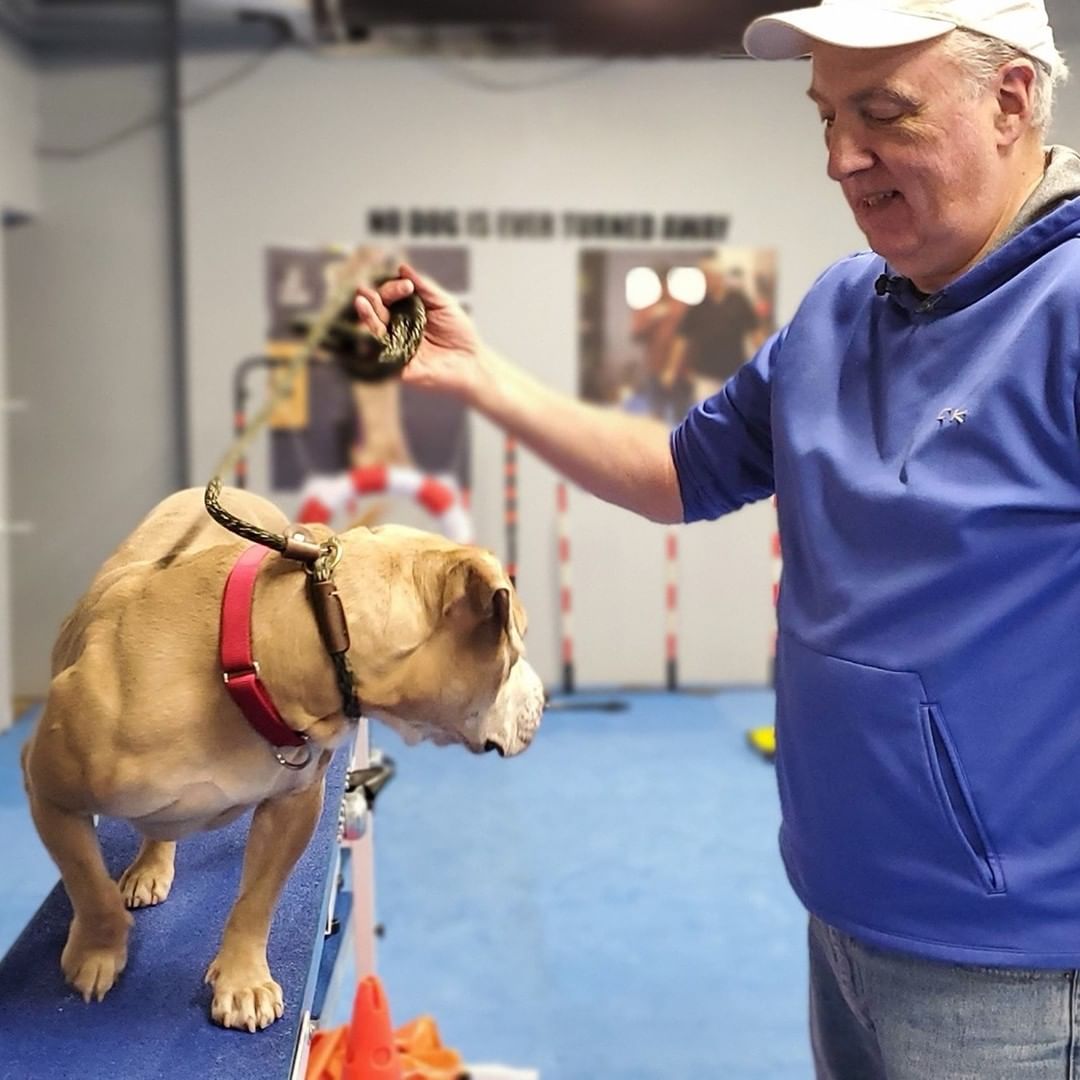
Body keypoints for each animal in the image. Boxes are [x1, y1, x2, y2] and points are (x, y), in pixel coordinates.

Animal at [16, 488, 540, 1028]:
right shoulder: (48, 792)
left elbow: (256, 900)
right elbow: (88, 884)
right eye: (517, 649)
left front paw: (242, 981)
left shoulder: (294, 805)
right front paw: (97, 952)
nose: (542, 699)